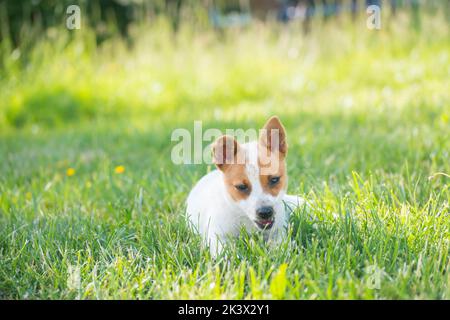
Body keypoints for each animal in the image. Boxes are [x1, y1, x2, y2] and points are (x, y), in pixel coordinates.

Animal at [186, 116, 302, 256]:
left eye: (274, 179)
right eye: (241, 187)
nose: (265, 212)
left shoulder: (278, 231)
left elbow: (280, 244)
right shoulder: (216, 236)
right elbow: (225, 252)